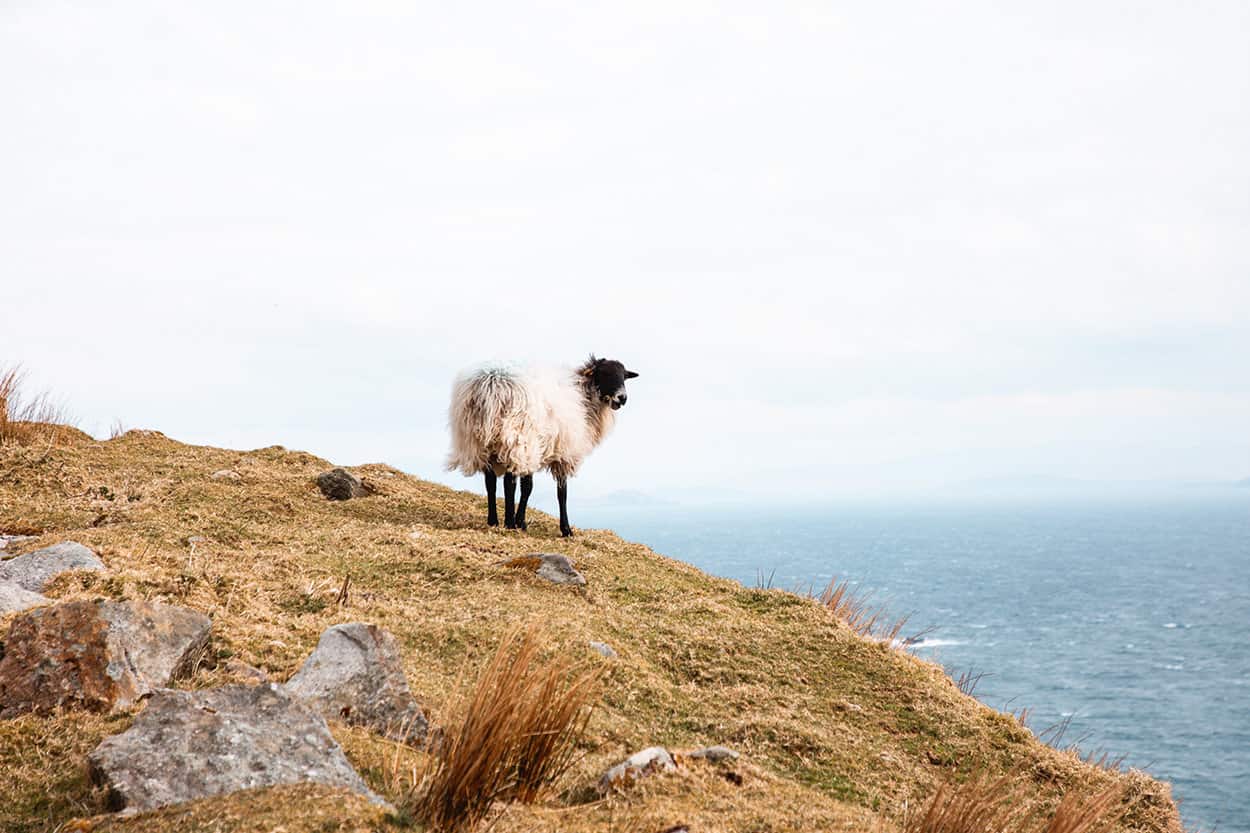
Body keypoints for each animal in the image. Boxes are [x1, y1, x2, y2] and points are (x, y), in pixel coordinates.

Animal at [447, 352, 640, 535]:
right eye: (604, 373)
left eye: (624, 376)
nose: (622, 398)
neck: (584, 398)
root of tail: (491, 383)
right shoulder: (561, 453)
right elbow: (559, 492)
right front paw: (565, 530)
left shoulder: (535, 450)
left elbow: (526, 487)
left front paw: (521, 522)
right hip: (515, 438)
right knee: (509, 482)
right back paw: (508, 523)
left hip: (479, 441)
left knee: (491, 482)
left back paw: (493, 521)